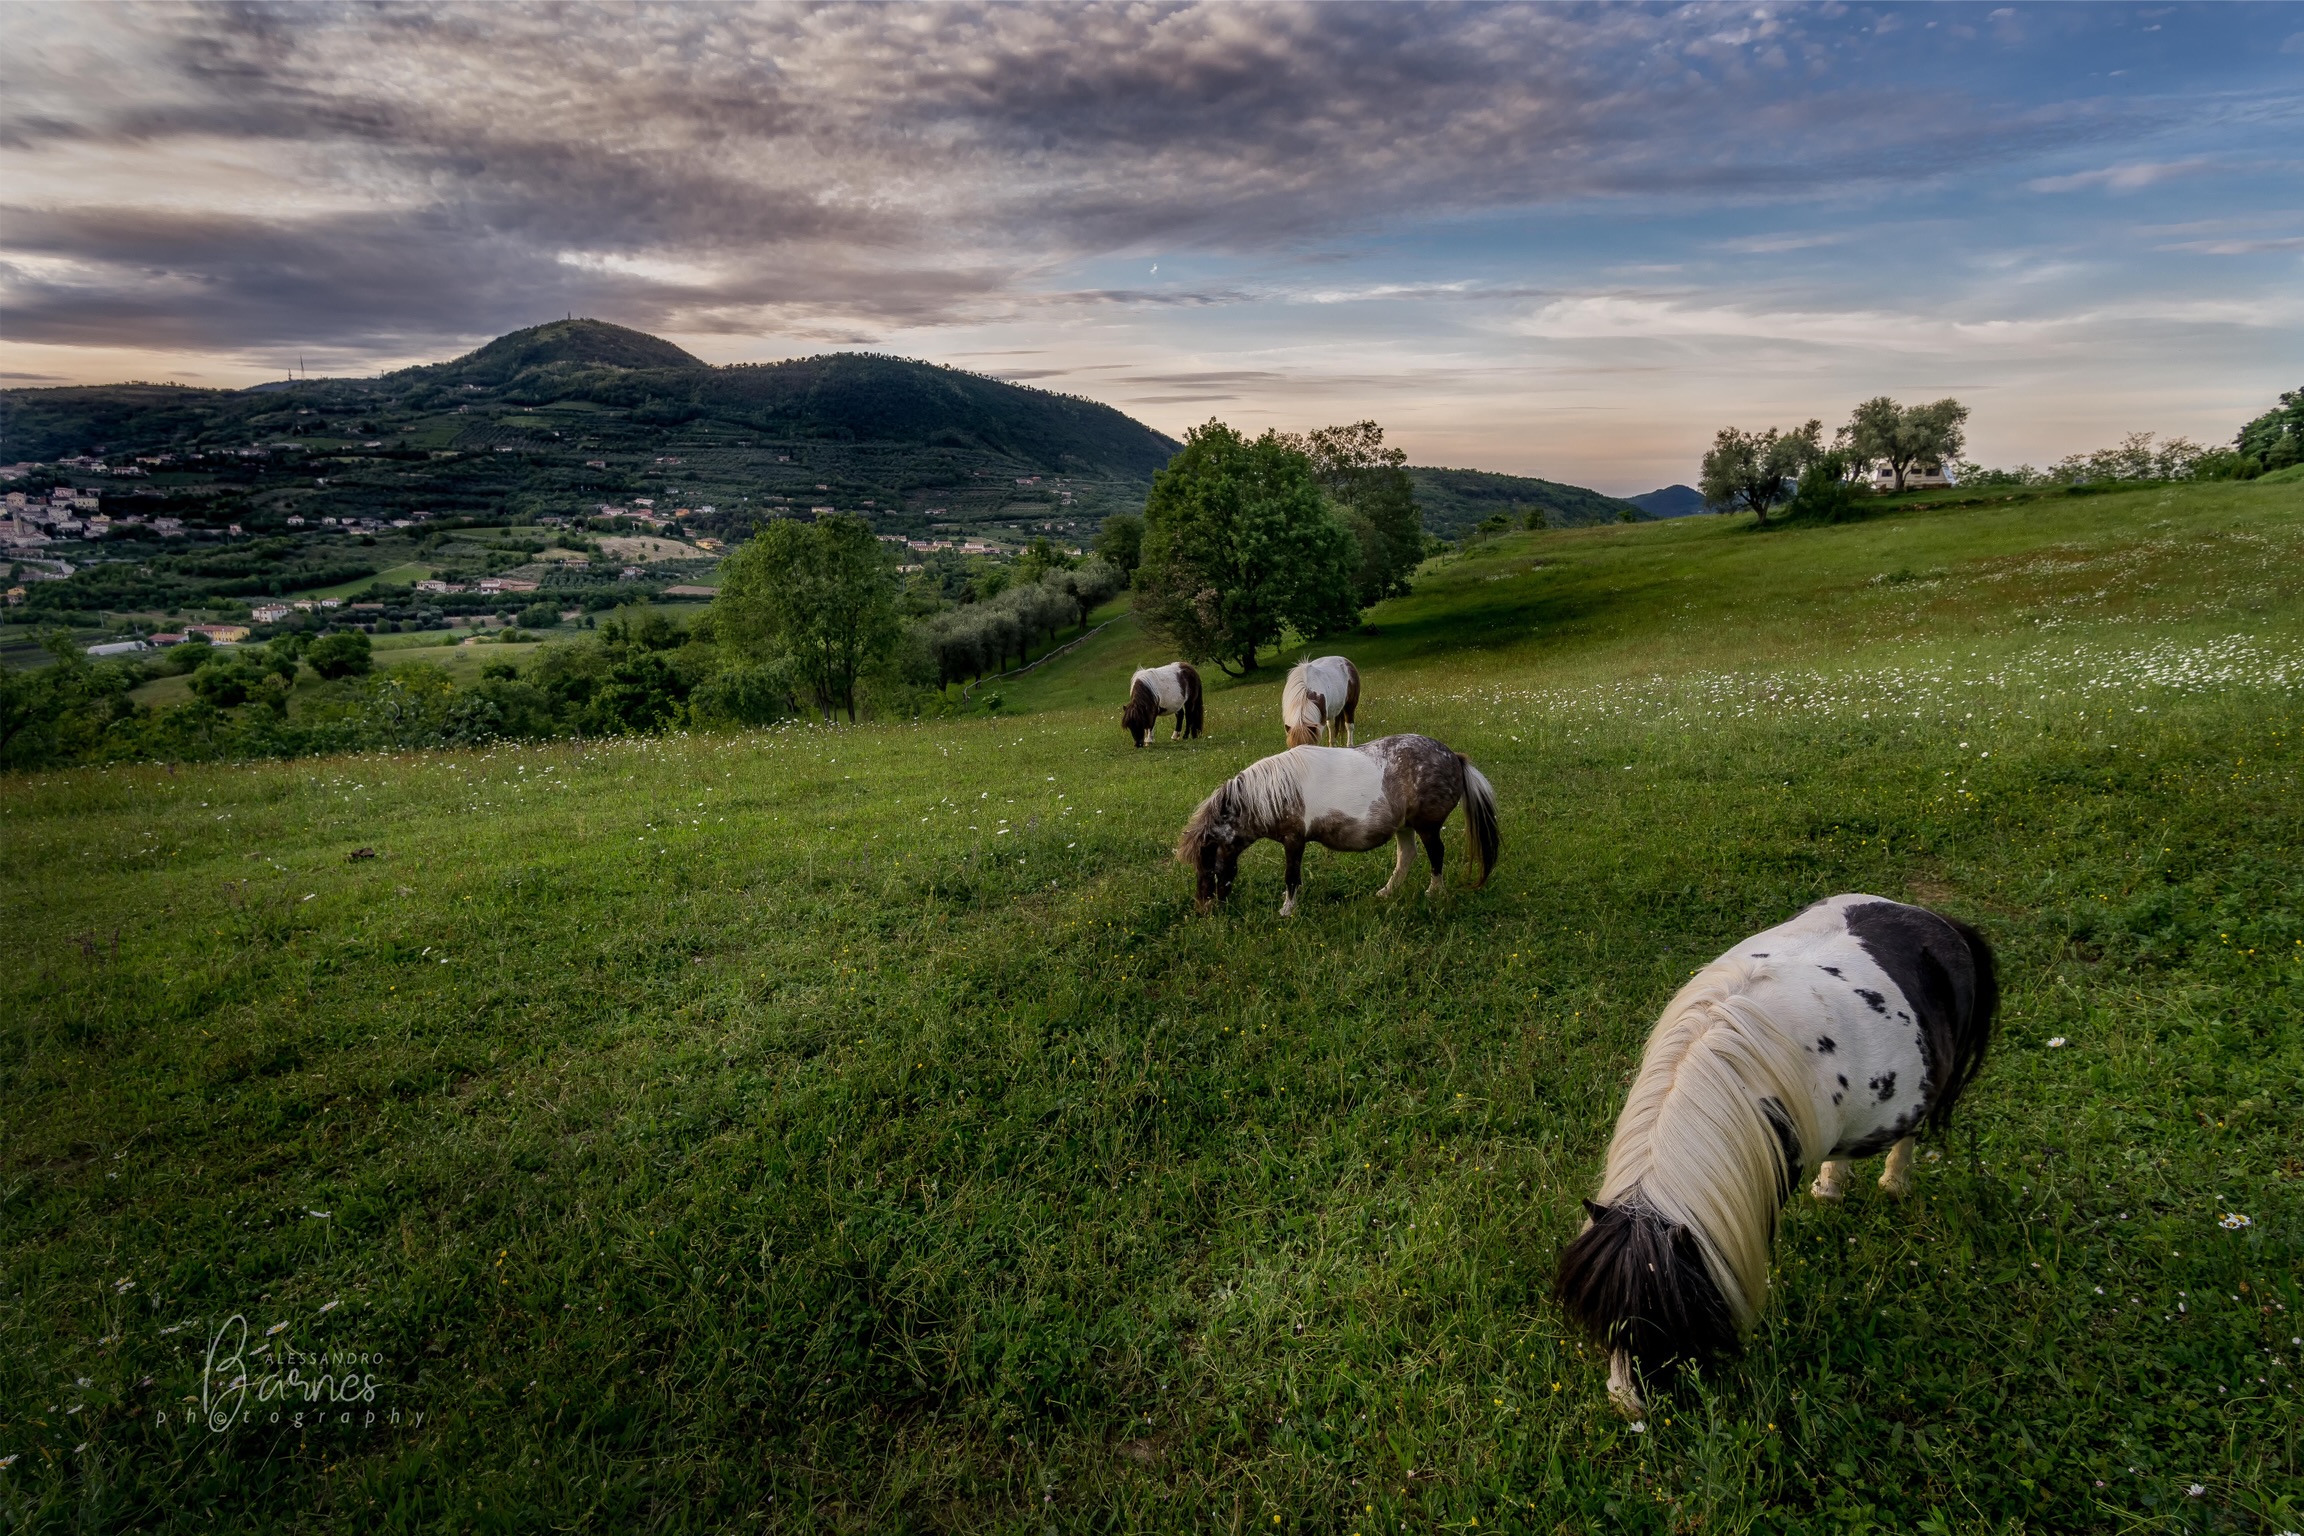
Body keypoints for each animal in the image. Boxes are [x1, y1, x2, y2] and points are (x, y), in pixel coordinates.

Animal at [1176, 734, 1498, 916]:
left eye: (1207, 866)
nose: (1203, 910)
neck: (1275, 792)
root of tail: (1454, 757)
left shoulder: (1294, 840)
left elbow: (1291, 876)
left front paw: (1287, 910)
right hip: (1405, 827)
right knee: (1407, 856)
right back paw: (1386, 893)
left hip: (1427, 826)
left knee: (1436, 855)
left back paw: (1434, 893)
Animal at [1552, 894, 1998, 1420]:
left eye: (1665, 1322)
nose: (1629, 1407)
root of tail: (1936, 920)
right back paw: (1830, 1187)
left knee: (1909, 1132)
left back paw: (1894, 1183)